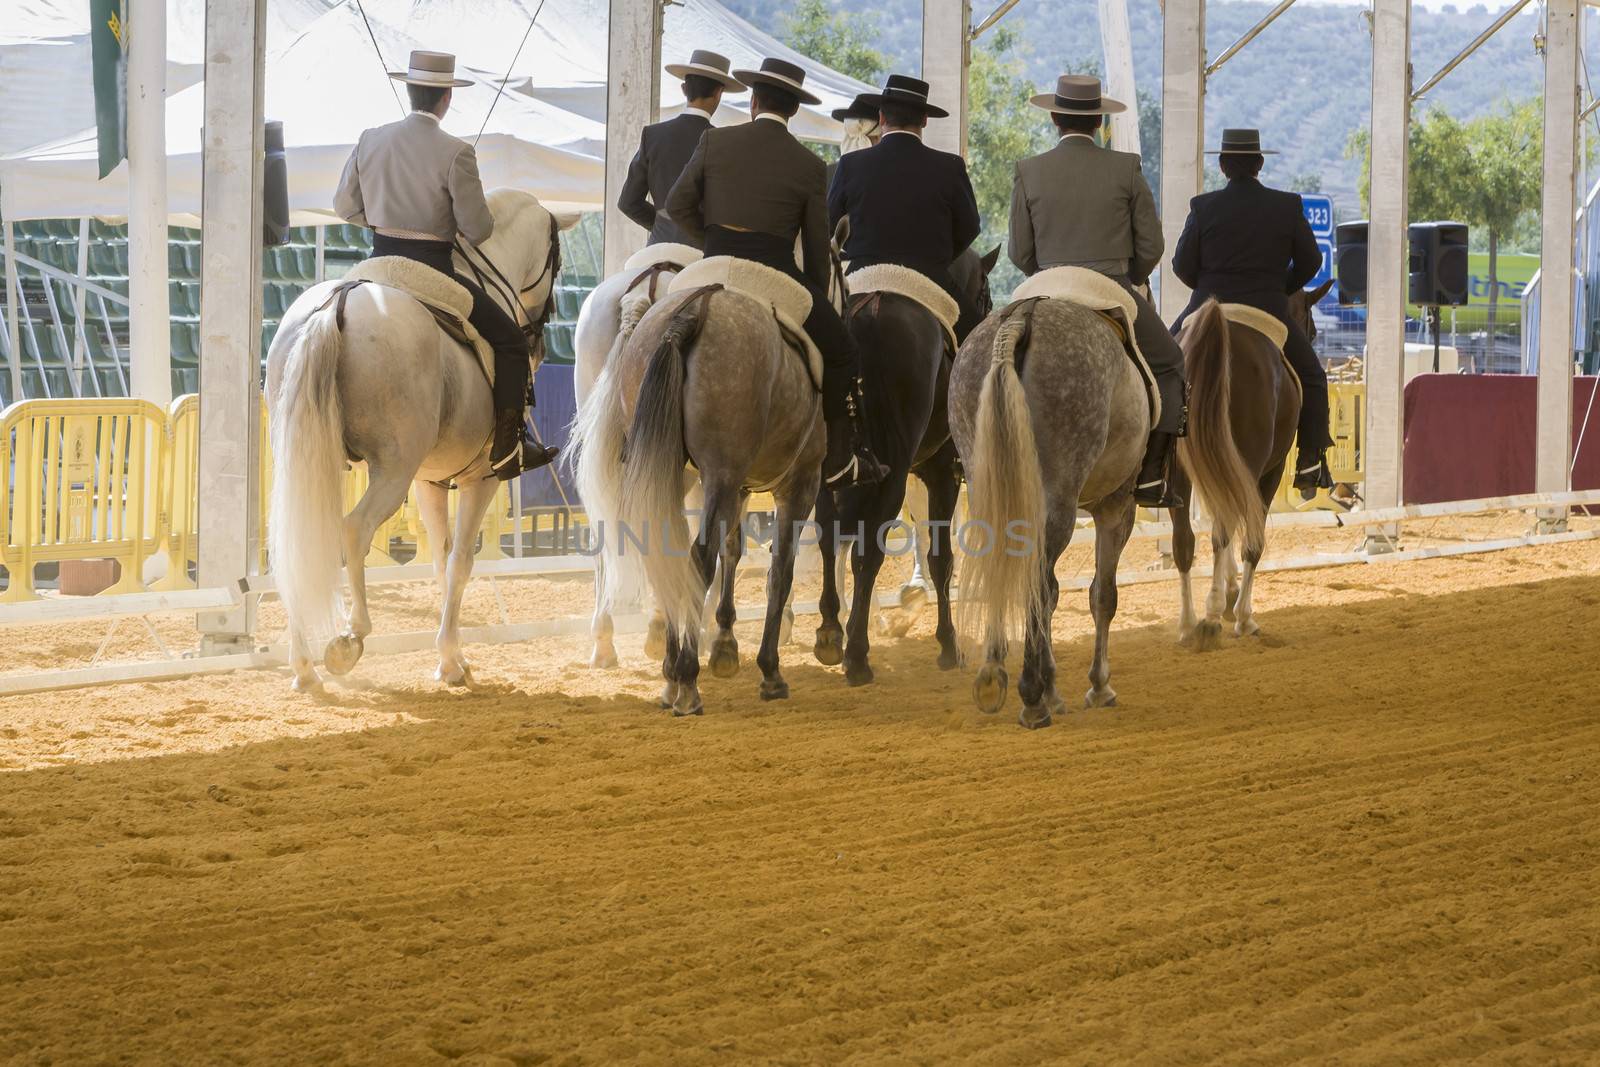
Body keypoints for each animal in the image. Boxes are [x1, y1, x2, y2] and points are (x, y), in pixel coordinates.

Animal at [268, 189, 576, 694]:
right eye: (557, 260)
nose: (538, 344)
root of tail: (340, 303)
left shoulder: (430, 481)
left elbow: (440, 560)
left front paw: (454, 657)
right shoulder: (480, 479)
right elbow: (460, 564)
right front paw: (450, 661)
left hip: (314, 461)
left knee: (298, 542)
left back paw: (303, 667)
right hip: (391, 471)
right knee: (353, 529)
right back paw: (350, 637)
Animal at [819, 246, 992, 684]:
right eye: (984, 292)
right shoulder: (941, 474)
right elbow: (941, 559)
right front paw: (948, 644)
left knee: (829, 537)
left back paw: (831, 632)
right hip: (894, 474)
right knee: (866, 554)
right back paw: (857, 655)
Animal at [940, 294, 1158, 726]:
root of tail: (1021, 319)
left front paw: (1054, 687)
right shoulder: (1116, 507)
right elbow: (1102, 596)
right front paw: (1097, 686)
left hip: (988, 485)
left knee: (1005, 569)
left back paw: (994, 675)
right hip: (1059, 501)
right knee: (1038, 585)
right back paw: (1031, 698)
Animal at [1171, 283, 1331, 646]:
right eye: (1312, 329)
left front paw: (1229, 591)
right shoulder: (1267, 472)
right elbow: (1252, 541)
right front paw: (1241, 614)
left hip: (1178, 472)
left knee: (1185, 540)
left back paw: (1188, 624)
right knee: (1222, 533)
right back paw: (1213, 616)